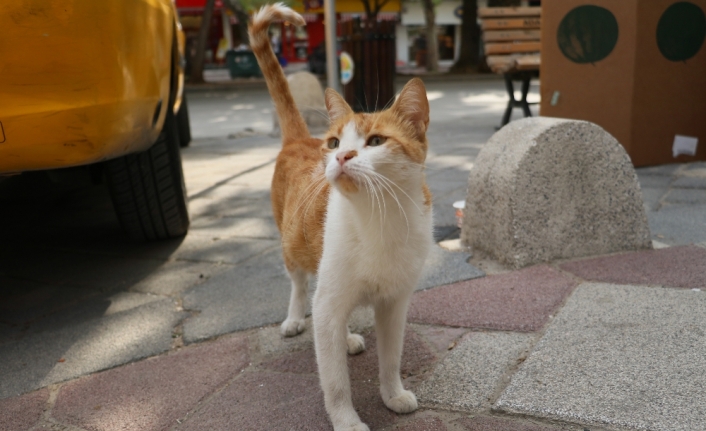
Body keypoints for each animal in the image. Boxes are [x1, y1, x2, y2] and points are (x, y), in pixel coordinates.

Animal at [250, 5, 432, 430]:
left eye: (376, 141)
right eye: (334, 142)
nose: (340, 156)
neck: (378, 218)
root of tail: (299, 139)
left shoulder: (394, 304)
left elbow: (391, 359)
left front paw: (393, 394)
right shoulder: (331, 298)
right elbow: (334, 381)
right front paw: (347, 419)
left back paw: (345, 337)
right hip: (293, 247)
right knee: (302, 287)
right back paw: (297, 318)